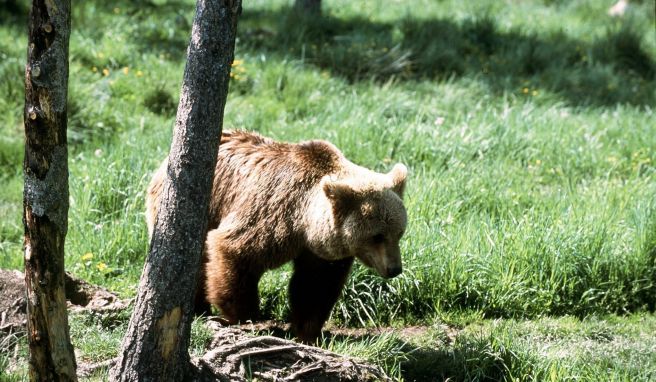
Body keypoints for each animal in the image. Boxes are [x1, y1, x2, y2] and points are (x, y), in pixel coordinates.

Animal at [146, 130, 408, 342]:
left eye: (399, 233)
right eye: (377, 236)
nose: (395, 269)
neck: (304, 222)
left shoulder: (321, 251)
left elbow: (315, 285)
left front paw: (307, 330)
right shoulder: (272, 212)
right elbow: (233, 249)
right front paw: (243, 314)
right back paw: (199, 308)